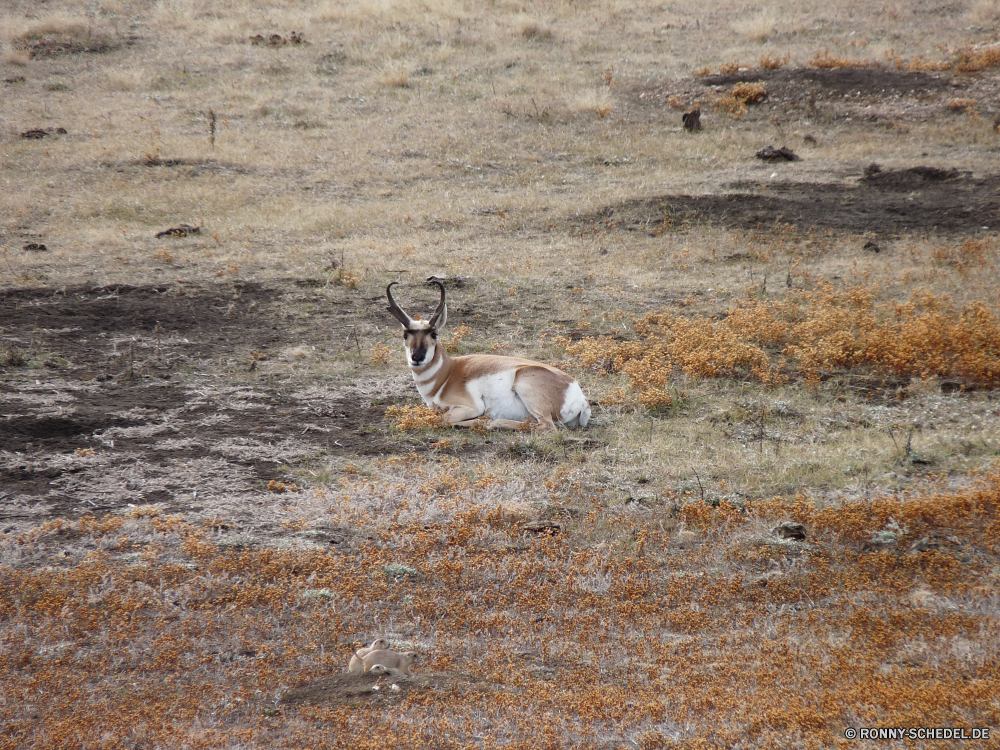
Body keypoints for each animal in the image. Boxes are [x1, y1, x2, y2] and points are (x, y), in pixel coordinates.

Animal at [386, 280, 588, 434]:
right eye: (405, 334)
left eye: (434, 334)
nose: (417, 357)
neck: (447, 374)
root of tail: (576, 391)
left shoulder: (469, 407)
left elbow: (443, 418)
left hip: (525, 386)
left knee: (546, 426)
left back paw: (490, 422)